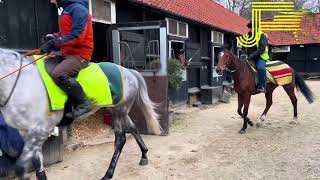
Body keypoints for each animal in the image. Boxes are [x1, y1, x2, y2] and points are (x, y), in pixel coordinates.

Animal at [0, 48, 161, 179]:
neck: (22, 81)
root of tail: (129, 71)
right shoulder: (27, 132)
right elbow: (37, 165)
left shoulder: (39, 130)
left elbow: (21, 167)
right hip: (118, 110)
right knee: (133, 129)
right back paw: (144, 155)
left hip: (118, 112)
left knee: (120, 140)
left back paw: (108, 174)